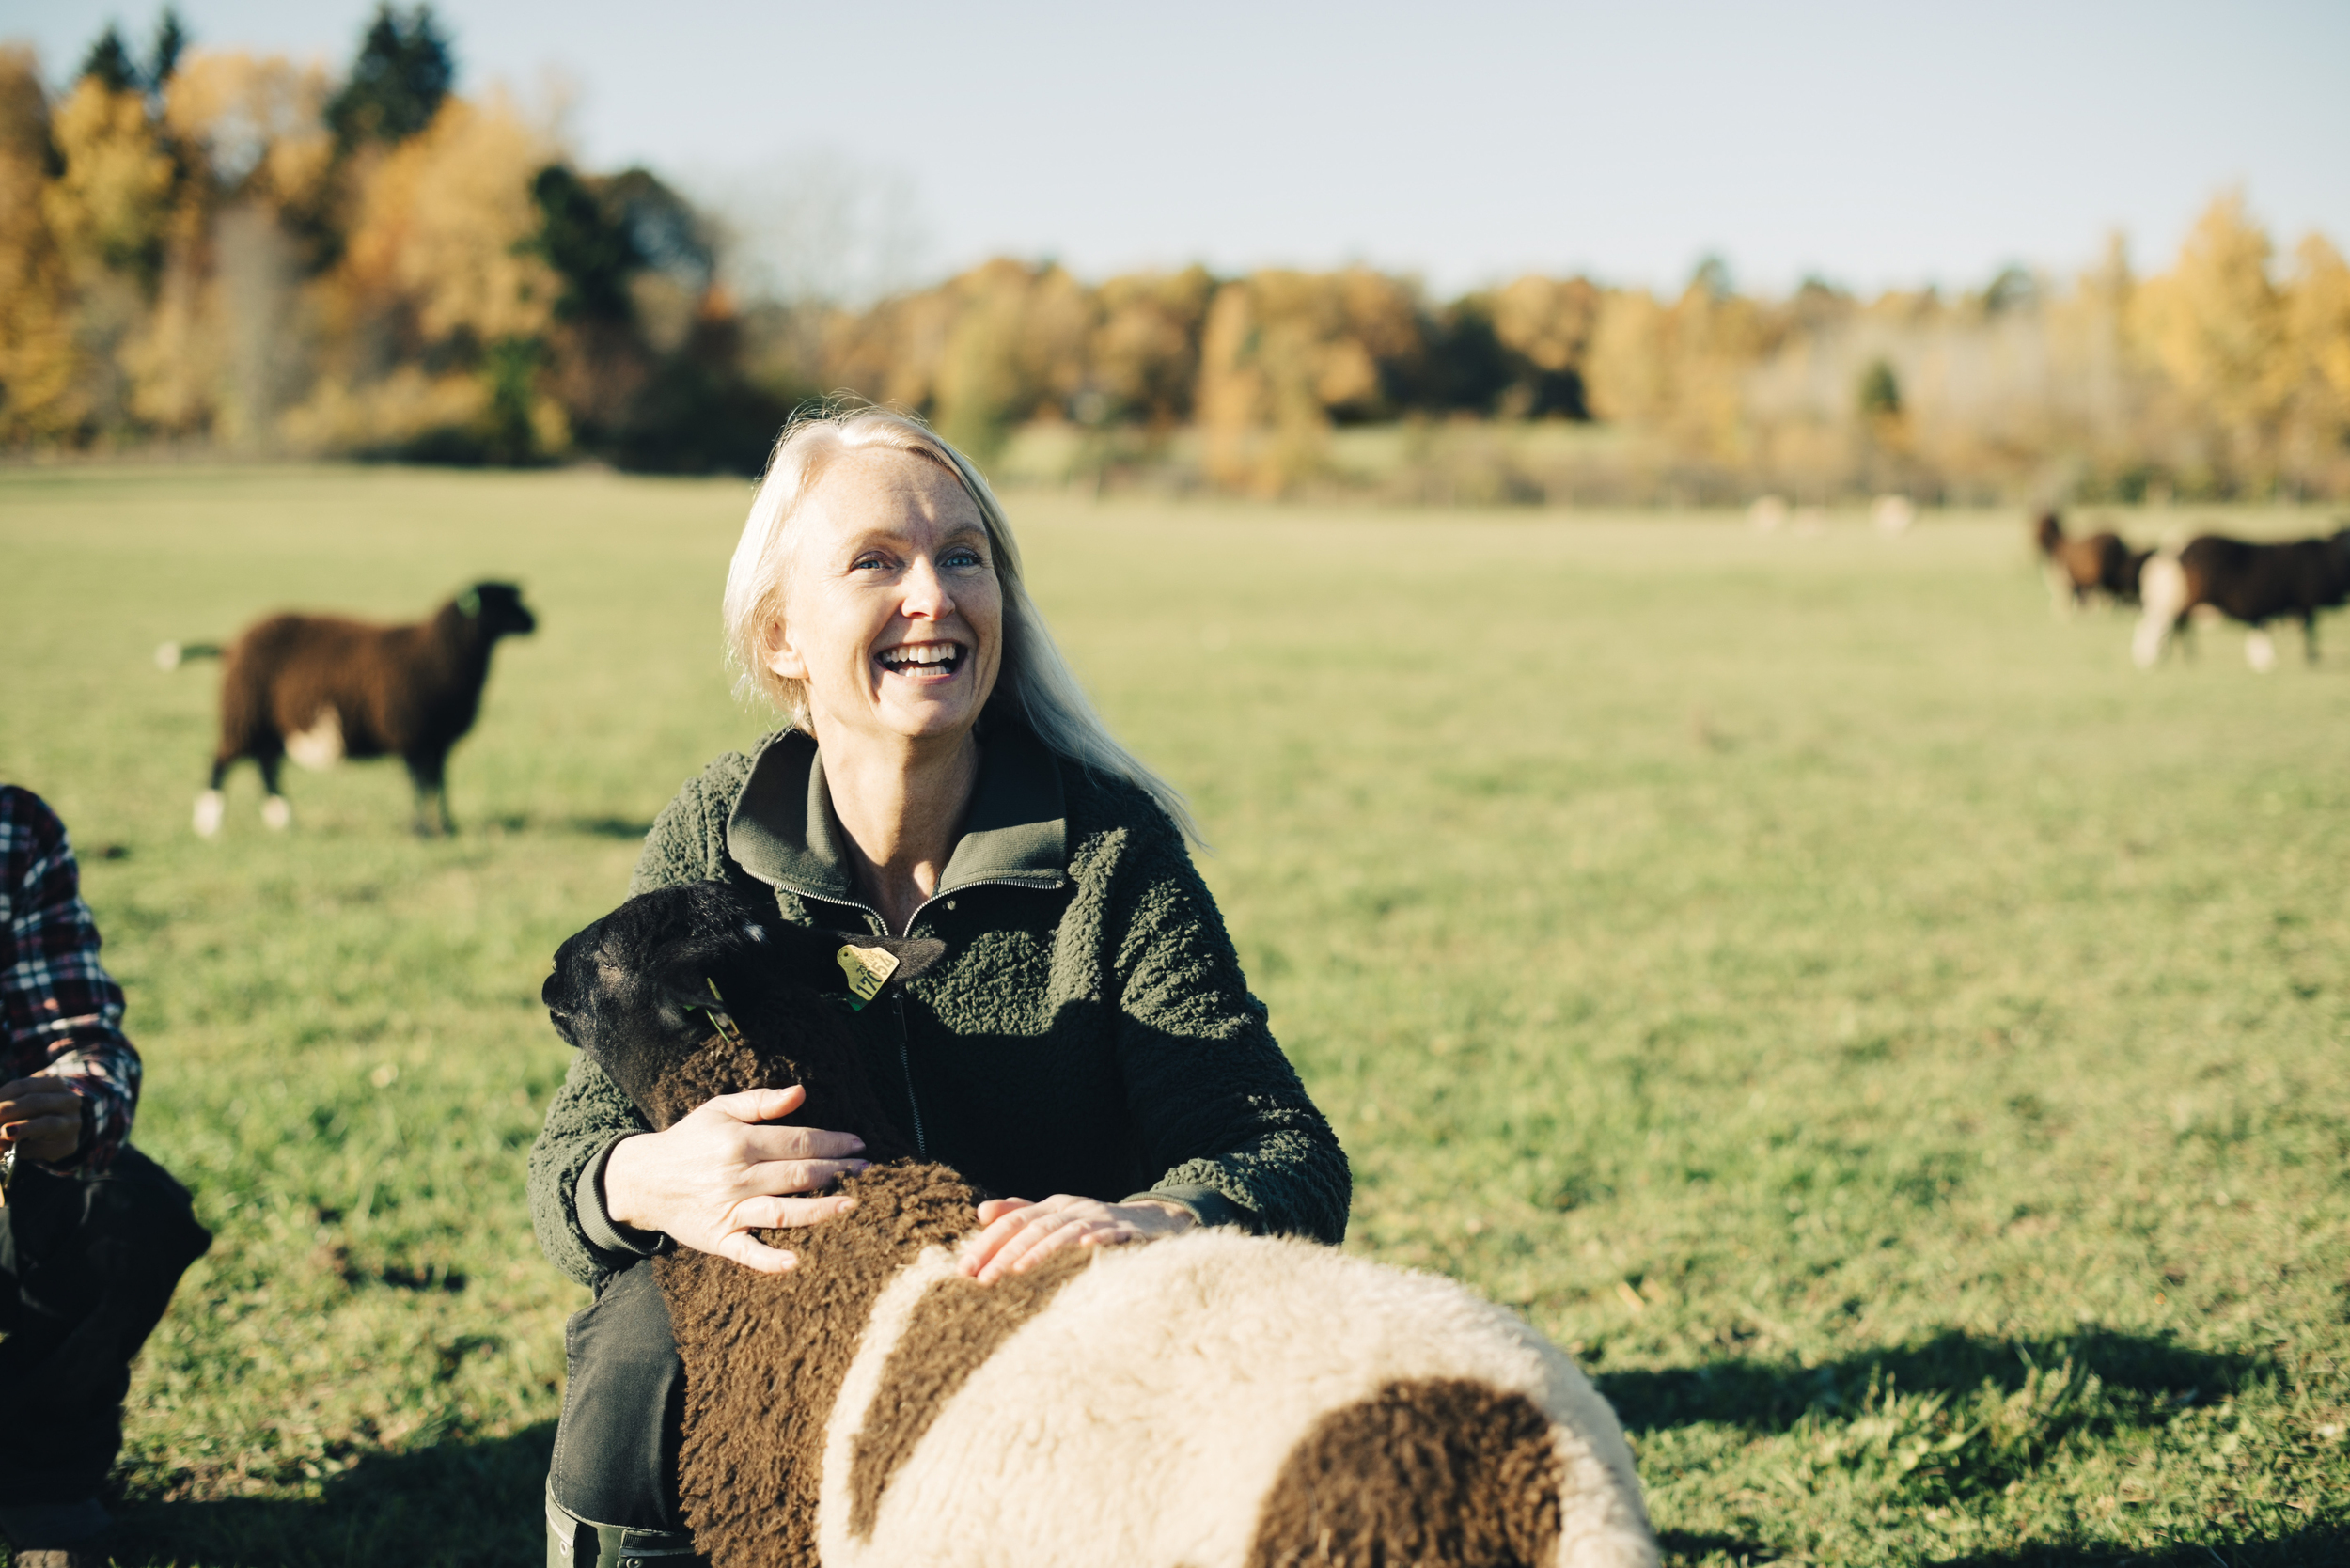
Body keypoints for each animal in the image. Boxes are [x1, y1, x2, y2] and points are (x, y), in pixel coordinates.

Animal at [165, 583, 538, 841]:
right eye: (499, 602)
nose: (535, 621)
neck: (438, 653)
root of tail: (232, 646)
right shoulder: (411, 736)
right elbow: (420, 784)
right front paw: (423, 831)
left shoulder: (437, 741)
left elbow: (438, 783)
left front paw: (447, 826)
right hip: (244, 716)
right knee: (221, 763)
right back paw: (209, 825)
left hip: (269, 726)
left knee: (266, 767)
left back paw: (285, 822)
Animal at [2134, 531, 2350, 672]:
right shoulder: (2304, 603)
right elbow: (2307, 632)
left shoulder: (2269, 607)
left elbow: (2262, 630)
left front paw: (2264, 661)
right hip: (2183, 601)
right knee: (2170, 626)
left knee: (2170, 626)